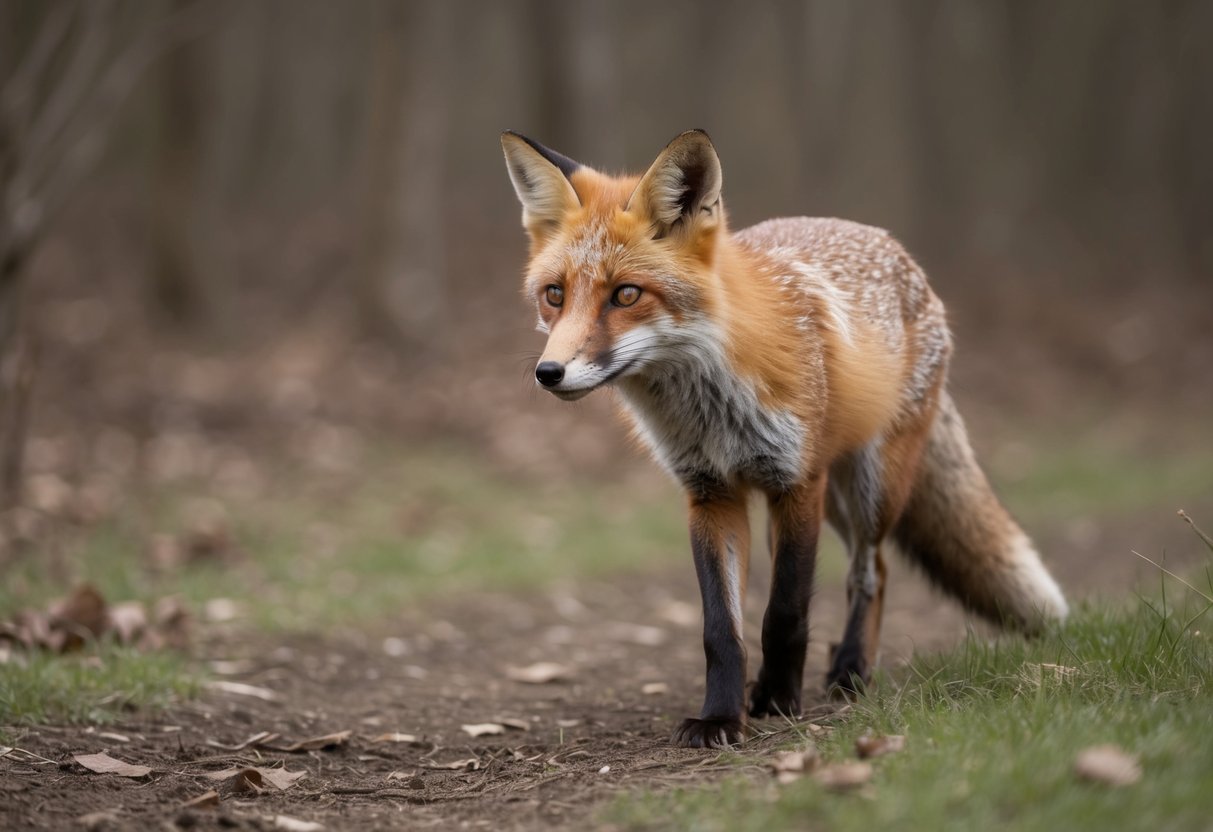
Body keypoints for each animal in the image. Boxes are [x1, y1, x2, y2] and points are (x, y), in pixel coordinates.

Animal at [500, 129, 1069, 748]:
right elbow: (721, 630)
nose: (548, 373)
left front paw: (777, 699)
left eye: (626, 295)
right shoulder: (711, 494)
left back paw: (850, 670)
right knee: (871, 570)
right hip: (826, 503)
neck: (712, 408)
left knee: (872, 570)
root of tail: (893, 245)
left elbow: (784, 612)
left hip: (869, 489)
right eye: (555, 295)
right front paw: (722, 717)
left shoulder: (797, 481)